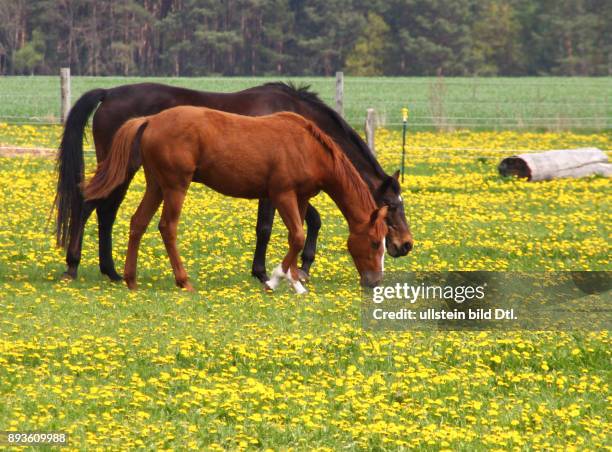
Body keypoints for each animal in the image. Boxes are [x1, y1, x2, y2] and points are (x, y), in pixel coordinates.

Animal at [55, 82, 414, 282]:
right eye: (391, 204)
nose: (406, 245)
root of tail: (108, 94)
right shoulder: (274, 191)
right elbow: (267, 228)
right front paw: (263, 271)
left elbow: (312, 220)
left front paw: (302, 267)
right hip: (122, 169)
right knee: (91, 206)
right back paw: (74, 266)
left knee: (105, 212)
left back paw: (112, 271)